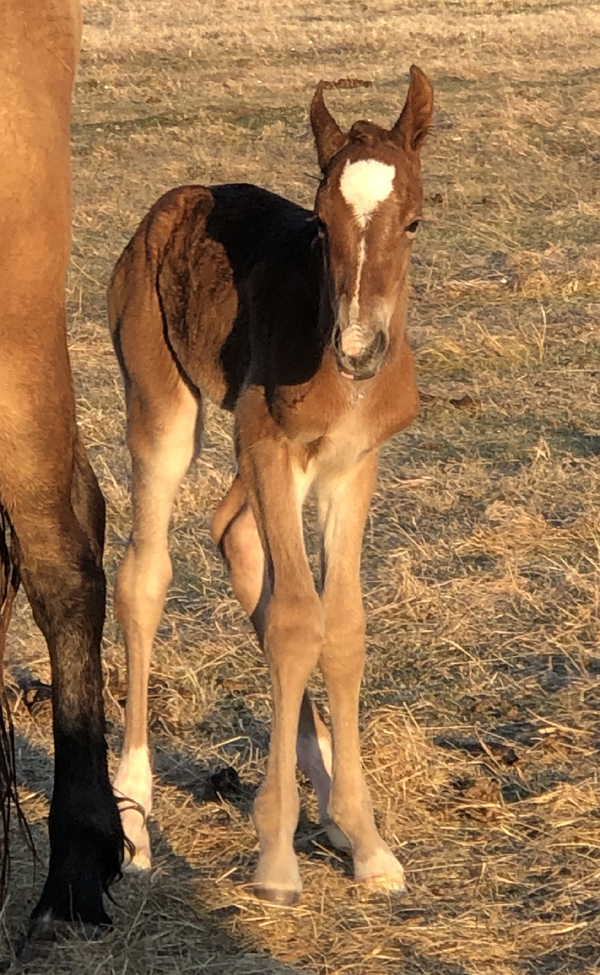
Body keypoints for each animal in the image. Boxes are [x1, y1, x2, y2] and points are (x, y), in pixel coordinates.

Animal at [109, 66, 433, 906]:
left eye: (414, 222)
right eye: (319, 224)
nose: (358, 350)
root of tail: (173, 201)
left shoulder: (351, 464)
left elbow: (340, 627)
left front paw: (365, 838)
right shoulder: (263, 437)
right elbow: (294, 621)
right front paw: (278, 859)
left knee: (235, 534)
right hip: (163, 407)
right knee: (145, 575)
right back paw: (132, 819)